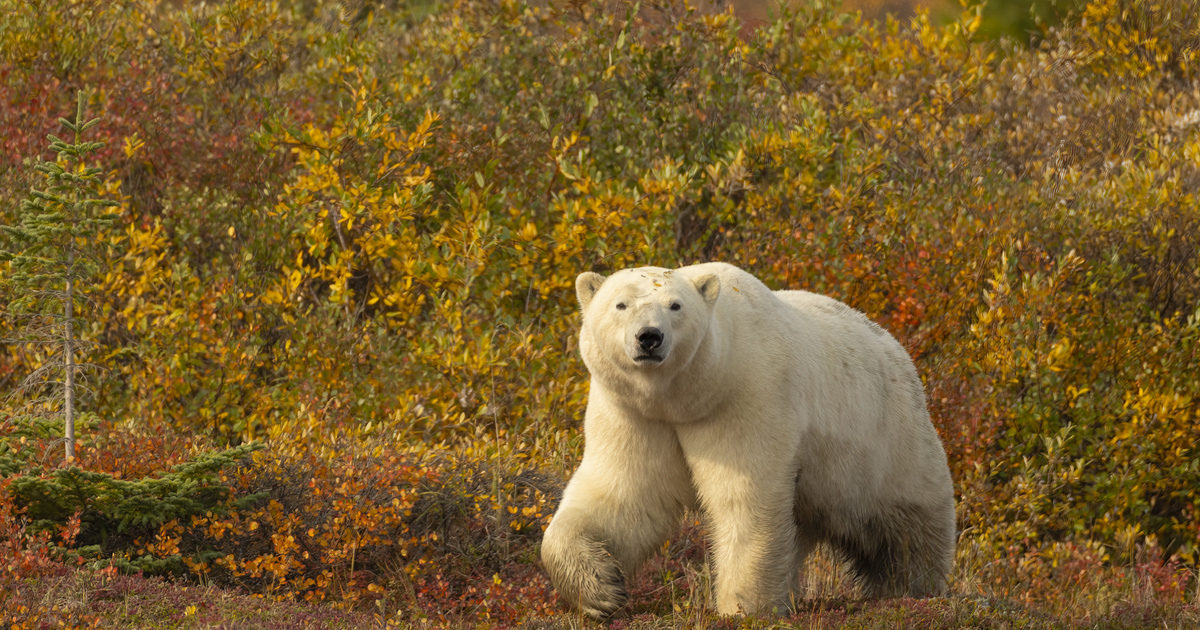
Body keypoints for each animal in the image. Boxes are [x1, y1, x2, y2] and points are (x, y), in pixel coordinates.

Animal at [544, 259, 955, 614]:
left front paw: (745, 606)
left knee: (906, 525)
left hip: (885, 439)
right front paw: (600, 589)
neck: (683, 398)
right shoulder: (634, 414)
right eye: (621, 304)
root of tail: (898, 348)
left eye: (675, 305)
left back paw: (911, 587)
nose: (649, 337)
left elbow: (745, 498)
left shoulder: (746, 398)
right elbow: (623, 496)